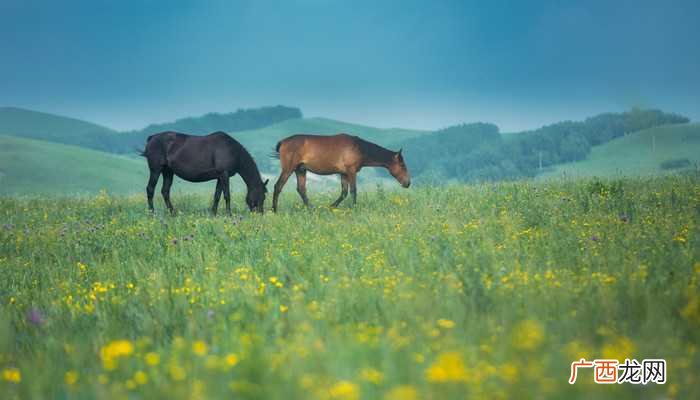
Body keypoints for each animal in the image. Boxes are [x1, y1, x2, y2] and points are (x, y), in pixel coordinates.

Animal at [140, 131, 268, 215]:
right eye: (262, 196)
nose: (260, 214)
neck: (233, 151)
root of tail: (151, 138)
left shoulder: (220, 177)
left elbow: (217, 195)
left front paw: (213, 213)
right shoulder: (224, 174)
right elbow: (227, 195)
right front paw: (229, 214)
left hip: (168, 171)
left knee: (165, 191)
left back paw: (172, 212)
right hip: (156, 170)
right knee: (150, 189)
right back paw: (152, 213)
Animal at [271, 133, 410, 212]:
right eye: (402, 165)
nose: (407, 183)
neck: (359, 147)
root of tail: (283, 142)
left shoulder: (343, 174)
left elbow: (344, 193)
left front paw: (331, 207)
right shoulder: (351, 171)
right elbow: (353, 191)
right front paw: (354, 208)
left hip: (300, 170)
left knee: (301, 189)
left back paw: (312, 209)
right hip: (288, 169)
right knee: (278, 186)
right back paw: (274, 210)